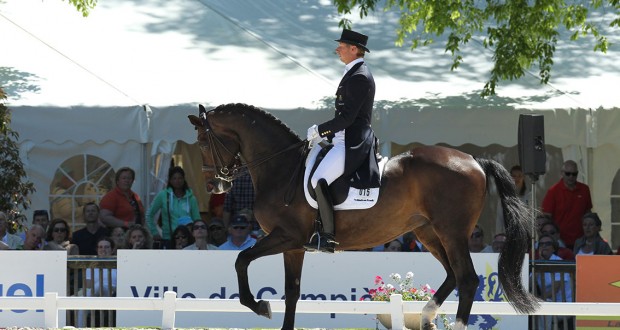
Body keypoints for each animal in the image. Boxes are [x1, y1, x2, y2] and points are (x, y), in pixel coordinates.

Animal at [188, 104, 536, 330]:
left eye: (203, 142)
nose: (214, 185)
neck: (282, 167)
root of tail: (475, 160)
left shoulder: (285, 236)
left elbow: (241, 260)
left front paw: (259, 306)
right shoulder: (294, 246)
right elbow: (292, 293)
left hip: (451, 232)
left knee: (466, 279)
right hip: (428, 232)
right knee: (452, 275)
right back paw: (425, 316)